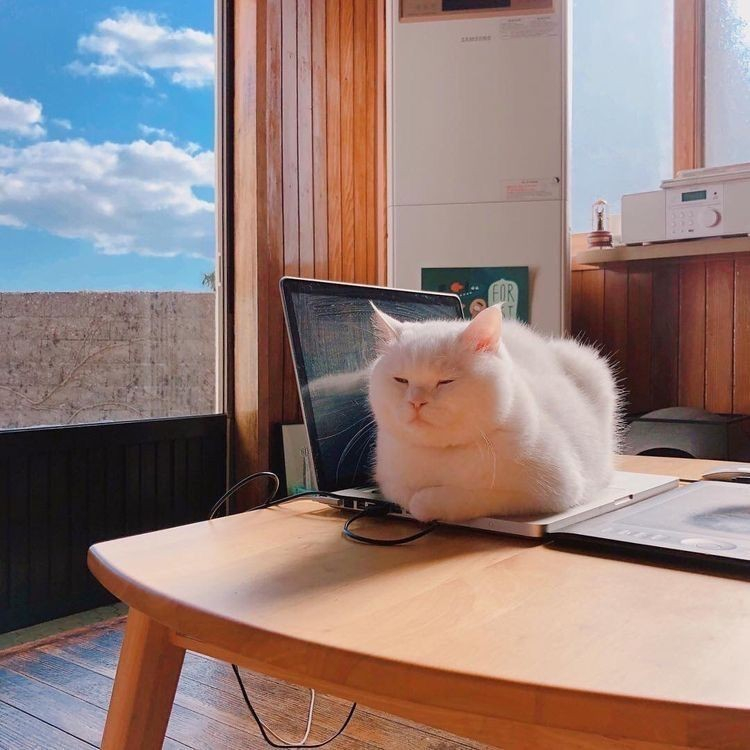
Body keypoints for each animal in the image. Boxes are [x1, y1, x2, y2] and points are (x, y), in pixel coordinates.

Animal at [370, 306, 624, 524]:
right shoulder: (390, 481)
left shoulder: (550, 490)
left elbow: (444, 498)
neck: (441, 455)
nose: (416, 401)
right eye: (401, 380)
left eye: (445, 381)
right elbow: (403, 493)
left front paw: (427, 502)